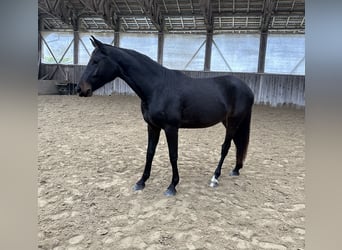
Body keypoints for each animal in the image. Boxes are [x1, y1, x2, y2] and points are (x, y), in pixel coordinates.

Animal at [77, 35, 254, 195]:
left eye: (95, 61)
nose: (80, 89)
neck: (157, 87)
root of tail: (246, 88)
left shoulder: (171, 128)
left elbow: (173, 155)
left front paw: (172, 186)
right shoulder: (152, 126)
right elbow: (149, 152)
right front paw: (141, 182)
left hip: (233, 122)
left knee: (226, 147)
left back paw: (215, 177)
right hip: (229, 122)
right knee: (237, 143)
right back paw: (236, 169)